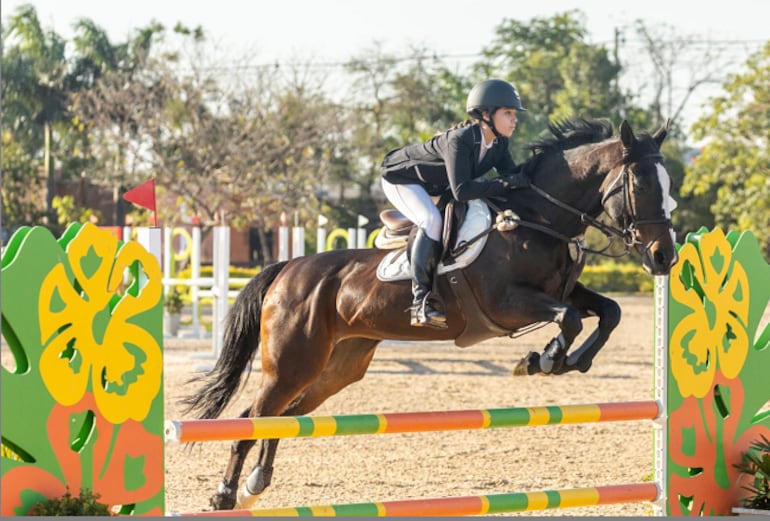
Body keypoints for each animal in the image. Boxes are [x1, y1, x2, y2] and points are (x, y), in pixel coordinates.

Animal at [182, 117, 680, 508]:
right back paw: (225, 494)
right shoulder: (507, 303)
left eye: (670, 187)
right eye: (641, 184)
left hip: (338, 365)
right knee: (254, 414)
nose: (663, 258)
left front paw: (565, 361)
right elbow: (571, 320)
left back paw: (256, 482)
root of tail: (287, 269)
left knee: (285, 414)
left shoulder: (563, 291)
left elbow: (609, 312)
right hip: (290, 363)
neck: (537, 219)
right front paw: (544, 359)